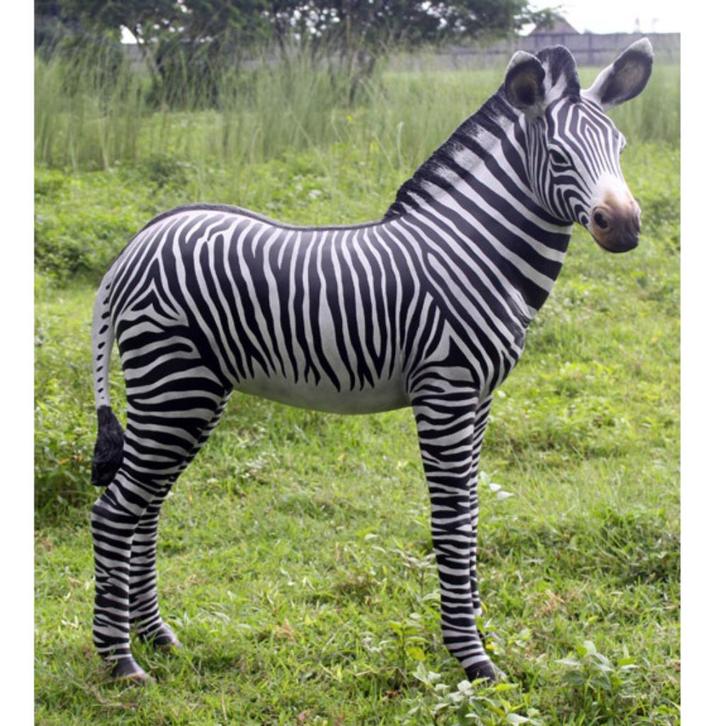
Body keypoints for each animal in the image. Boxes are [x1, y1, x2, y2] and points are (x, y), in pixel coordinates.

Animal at [89, 39, 653, 684]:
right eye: (559, 156)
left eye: (621, 149)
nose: (624, 226)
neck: (475, 252)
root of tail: (135, 243)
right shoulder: (446, 392)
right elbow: (452, 519)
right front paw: (471, 655)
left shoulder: (481, 399)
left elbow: (473, 512)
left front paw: (477, 627)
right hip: (174, 385)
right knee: (115, 512)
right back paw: (120, 660)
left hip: (192, 394)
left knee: (147, 509)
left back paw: (157, 636)